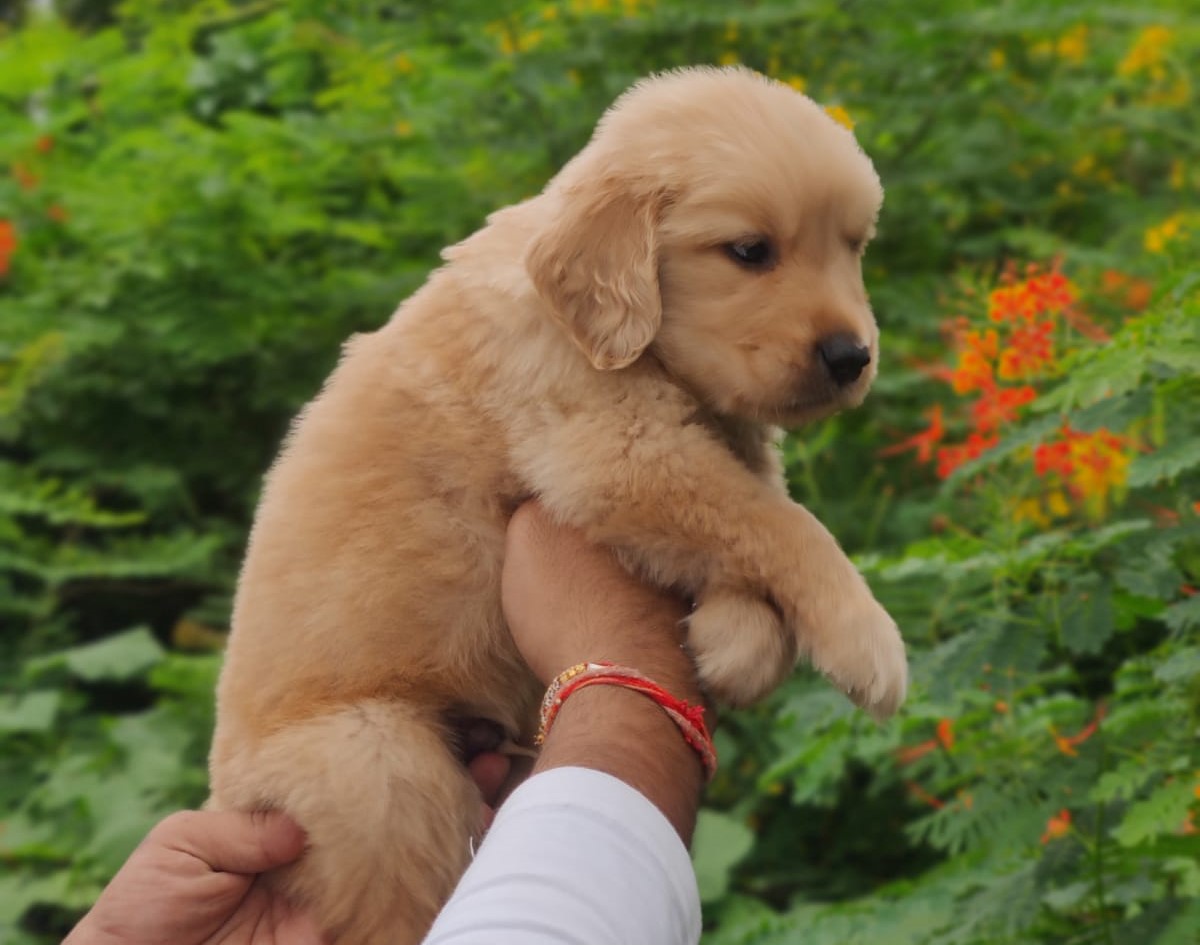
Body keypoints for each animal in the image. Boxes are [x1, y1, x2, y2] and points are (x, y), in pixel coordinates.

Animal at [208, 66, 902, 944]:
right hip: (379, 766)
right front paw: (866, 640)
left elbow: (753, 517)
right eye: (750, 252)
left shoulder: (708, 444)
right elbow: (783, 523)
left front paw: (734, 639)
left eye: (855, 247)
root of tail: (229, 795)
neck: (632, 348)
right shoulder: (612, 454)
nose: (852, 356)